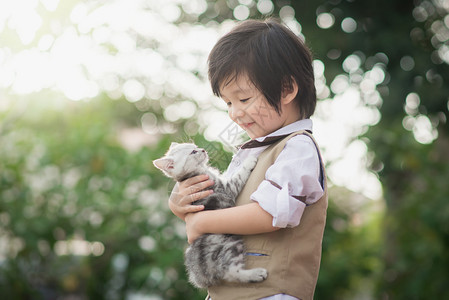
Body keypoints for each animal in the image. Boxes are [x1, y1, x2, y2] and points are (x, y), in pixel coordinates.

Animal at [154, 143, 266, 288]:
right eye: (193, 152)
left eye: (195, 146)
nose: (202, 150)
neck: (198, 171)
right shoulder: (227, 188)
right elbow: (238, 176)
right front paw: (249, 161)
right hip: (231, 243)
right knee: (231, 272)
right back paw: (256, 274)